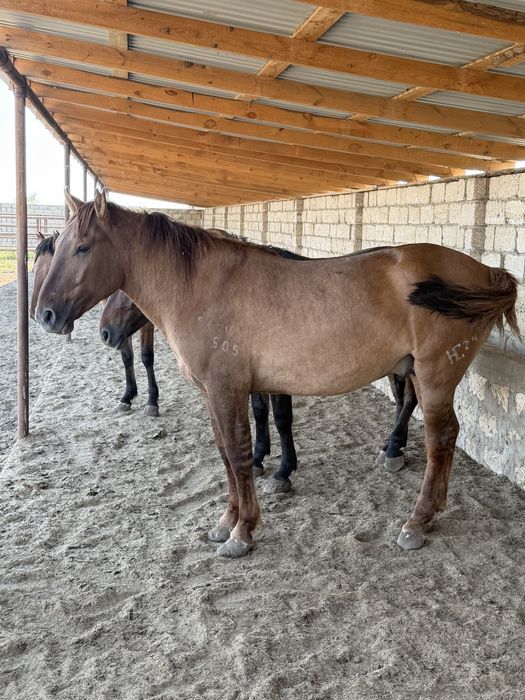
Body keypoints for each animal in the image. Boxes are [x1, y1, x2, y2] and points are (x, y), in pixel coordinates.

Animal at [36, 191, 520, 558]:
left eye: (82, 248)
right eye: (59, 247)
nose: (46, 315)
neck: (201, 287)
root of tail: (484, 271)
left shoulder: (228, 388)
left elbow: (238, 454)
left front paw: (242, 531)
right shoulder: (219, 393)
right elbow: (227, 453)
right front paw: (226, 520)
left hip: (436, 376)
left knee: (441, 440)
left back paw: (417, 521)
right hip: (415, 372)